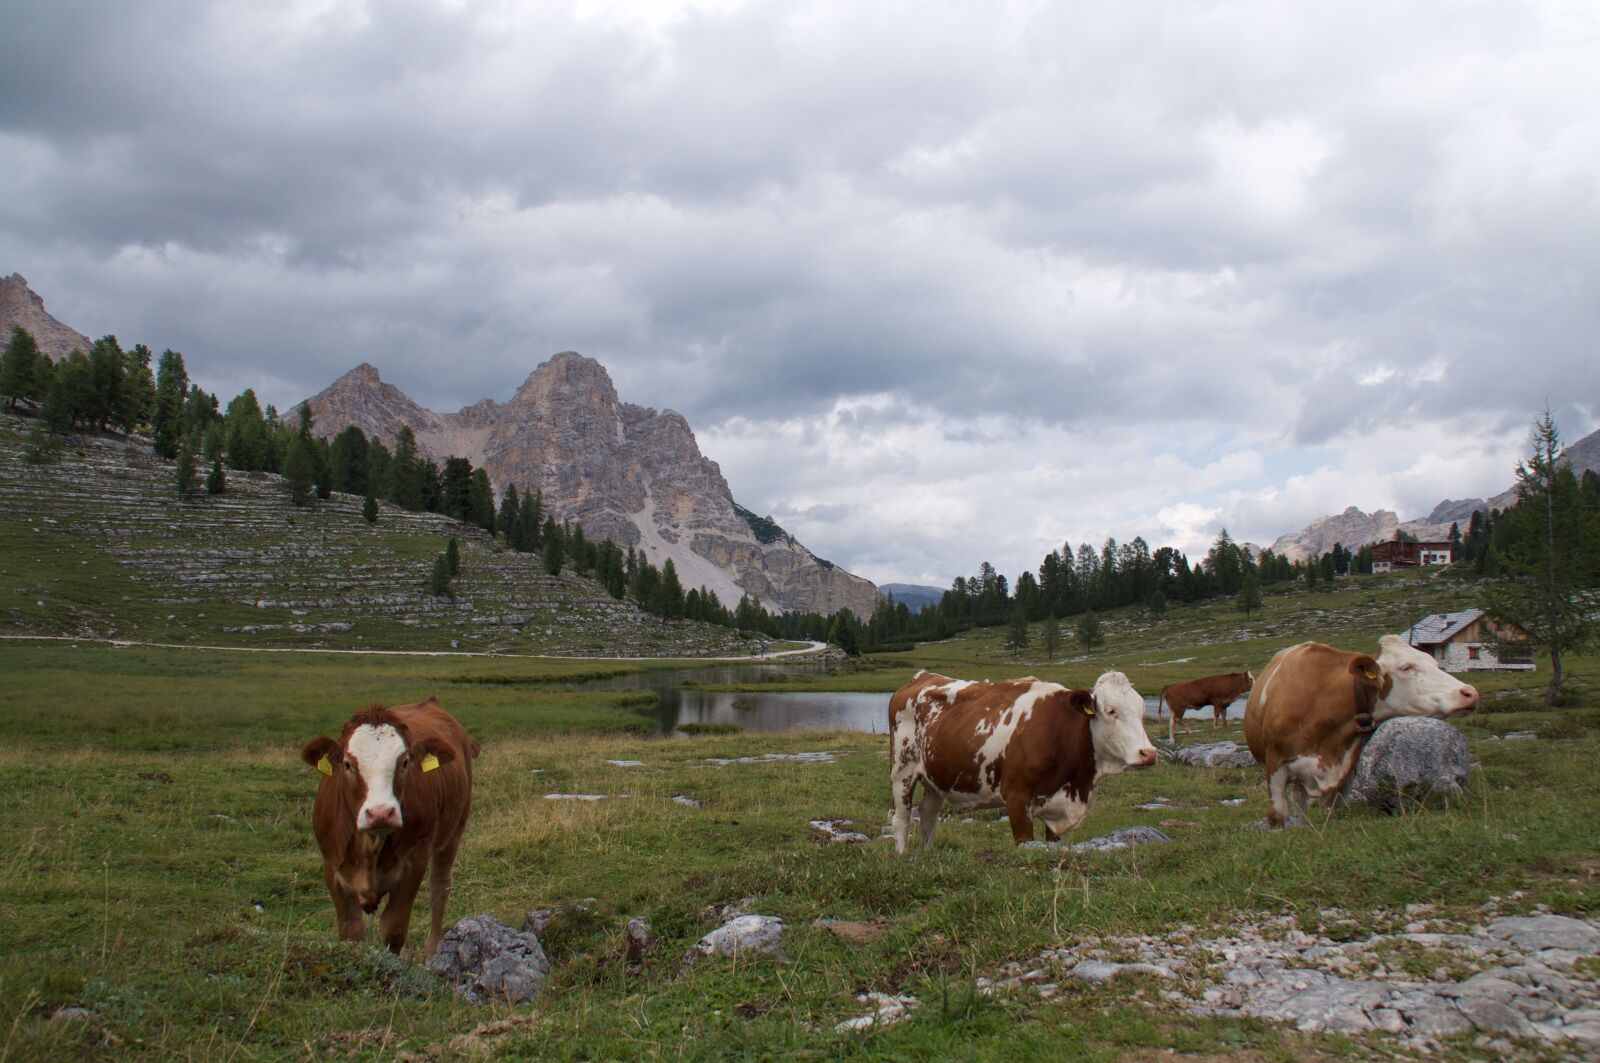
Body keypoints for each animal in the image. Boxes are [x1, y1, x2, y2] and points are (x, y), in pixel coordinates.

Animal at [299, 697, 480, 956]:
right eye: (347, 764)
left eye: (404, 762)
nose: (380, 813)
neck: (369, 847)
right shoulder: (332, 869)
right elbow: (351, 932)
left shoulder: (413, 865)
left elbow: (393, 930)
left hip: (454, 832)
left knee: (439, 887)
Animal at [888, 670, 1159, 853]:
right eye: (1111, 710)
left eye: (1142, 710)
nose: (1148, 753)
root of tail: (922, 676)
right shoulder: (1017, 798)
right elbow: (1024, 843)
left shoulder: (1057, 806)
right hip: (902, 769)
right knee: (902, 818)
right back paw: (903, 857)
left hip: (934, 776)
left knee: (928, 812)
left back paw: (927, 853)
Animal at [1244, 635, 1478, 828]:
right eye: (1406, 667)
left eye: (1435, 663)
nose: (1470, 693)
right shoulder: (1275, 763)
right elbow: (1277, 815)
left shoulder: (1344, 769)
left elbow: (1331, 812)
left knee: (1301, 804)